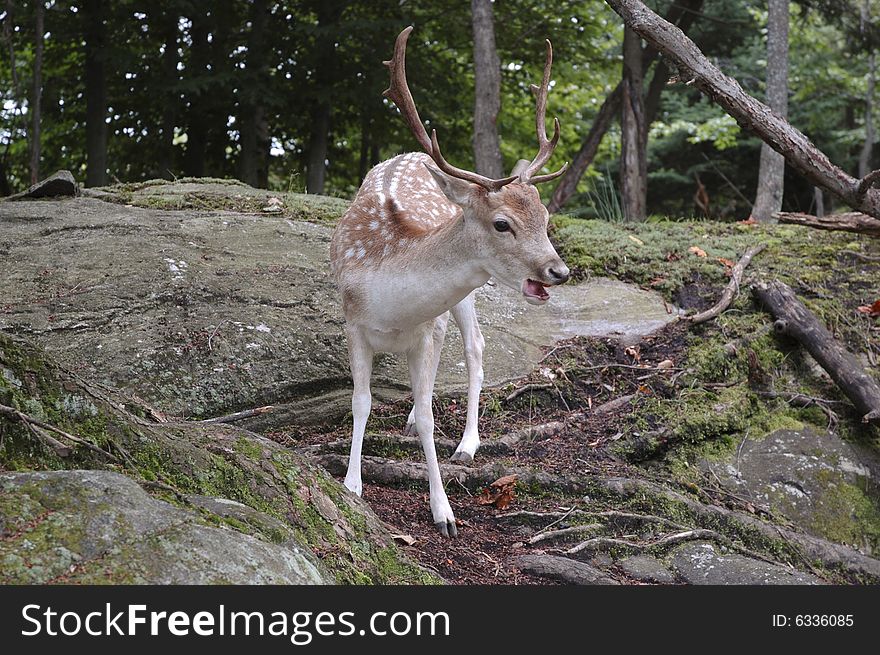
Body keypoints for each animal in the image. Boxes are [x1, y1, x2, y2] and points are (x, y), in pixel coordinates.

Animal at [330, 25, 572, 540]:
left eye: (546, 218)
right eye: (502, 224)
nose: (557, 271)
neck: (392, 306)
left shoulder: (430, 328)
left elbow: (427, 417)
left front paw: (443, 512)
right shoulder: (352, 323)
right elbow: (361, 401)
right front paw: (352, 485)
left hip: (464, 298)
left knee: (475, 347)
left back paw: (467, 444)